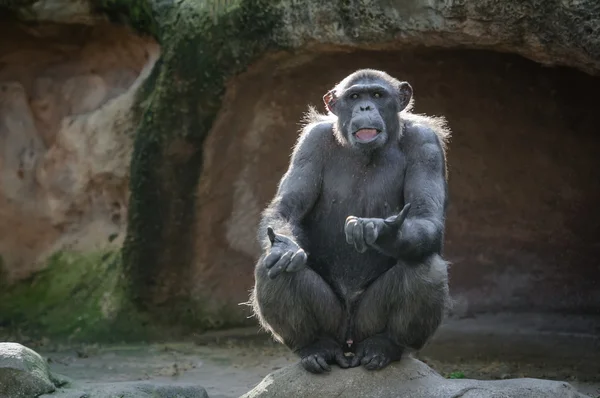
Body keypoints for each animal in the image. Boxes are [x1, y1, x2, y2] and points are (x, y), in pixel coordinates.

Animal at [247, 67, 450, 374]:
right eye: (355, 97)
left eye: (377, 94)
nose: (365, 107)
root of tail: (349, 346)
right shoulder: (311, 142)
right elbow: (288, 207)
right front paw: (284, 248)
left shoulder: (426, 146)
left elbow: (424, 214)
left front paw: (383, 232)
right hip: (334, 323)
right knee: (273, 268)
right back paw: (315, 348)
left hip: (368, 321)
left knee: (425, 266)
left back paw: (383, 346)